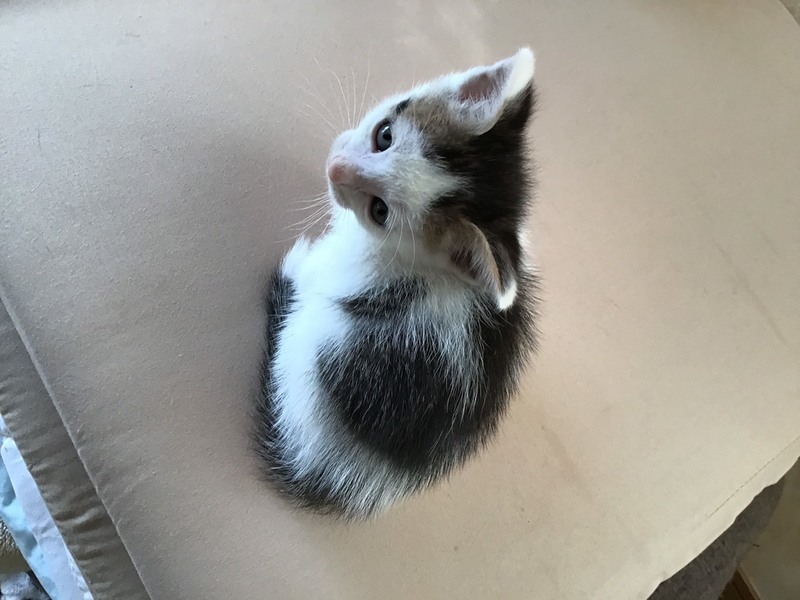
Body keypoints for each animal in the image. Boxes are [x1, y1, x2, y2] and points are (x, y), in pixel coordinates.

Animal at [256, 48, 540, 519]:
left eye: (380, 211)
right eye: (384, 135)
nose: (335, 169)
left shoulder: (348, 264)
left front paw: (300, 263)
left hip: (315, 344)